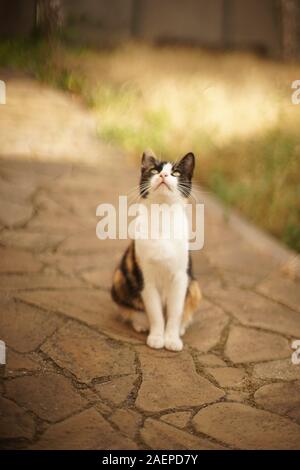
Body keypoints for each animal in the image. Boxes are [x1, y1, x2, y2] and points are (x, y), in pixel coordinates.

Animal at [110, 149, 202, 350]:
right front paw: (157, 337)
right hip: (119, 277)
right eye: (154, 170)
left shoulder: (181, 277)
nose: (163, 175)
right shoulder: (146, 278)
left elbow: (175, 312)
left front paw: (172, 339)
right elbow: (155, 312)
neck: (163, 216)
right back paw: (140, 323)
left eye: (175, 173)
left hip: (194, 286)